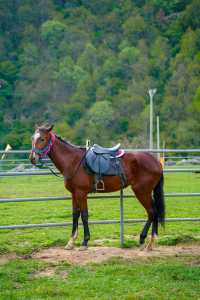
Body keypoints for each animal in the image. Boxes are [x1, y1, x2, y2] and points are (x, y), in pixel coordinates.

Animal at [29, 125, 164, 251]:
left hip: (142, 192)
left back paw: (144, 240)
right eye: (33, 138)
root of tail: (156, 162)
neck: (73, 161)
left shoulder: (81, 193)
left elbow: (84, 215)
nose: (32, 158)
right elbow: (75, 215)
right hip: (145, 192)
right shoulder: (74, 194)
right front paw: (71, 242)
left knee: (152, 212)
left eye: (42, 139)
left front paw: (84, 242)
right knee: (155, 212)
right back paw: (152, 242)